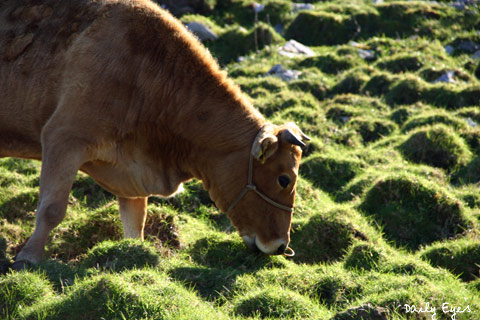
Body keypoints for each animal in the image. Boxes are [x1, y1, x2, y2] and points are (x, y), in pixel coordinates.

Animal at [0, 0, 308, 268]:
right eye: (284, 179)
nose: (281, 246)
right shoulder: (63, 137)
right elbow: (52, 209)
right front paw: (29, 257)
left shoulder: (131, 170)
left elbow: (136, 222)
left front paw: (132, 254)